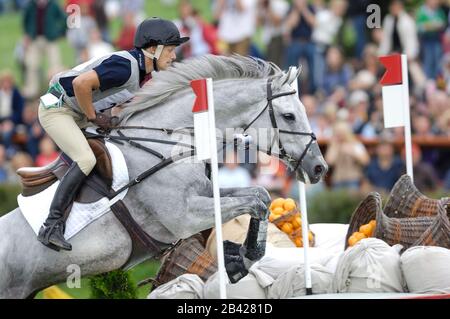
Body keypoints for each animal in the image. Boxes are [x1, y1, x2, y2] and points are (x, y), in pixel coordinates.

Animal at [0, 55, 326, 300]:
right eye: (289, 116)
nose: (319, 168)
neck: (173, 142)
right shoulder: (185, 216)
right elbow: (254, 202)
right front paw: (240, 259)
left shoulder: (206, 193)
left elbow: (260, 196)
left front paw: (240, 258)